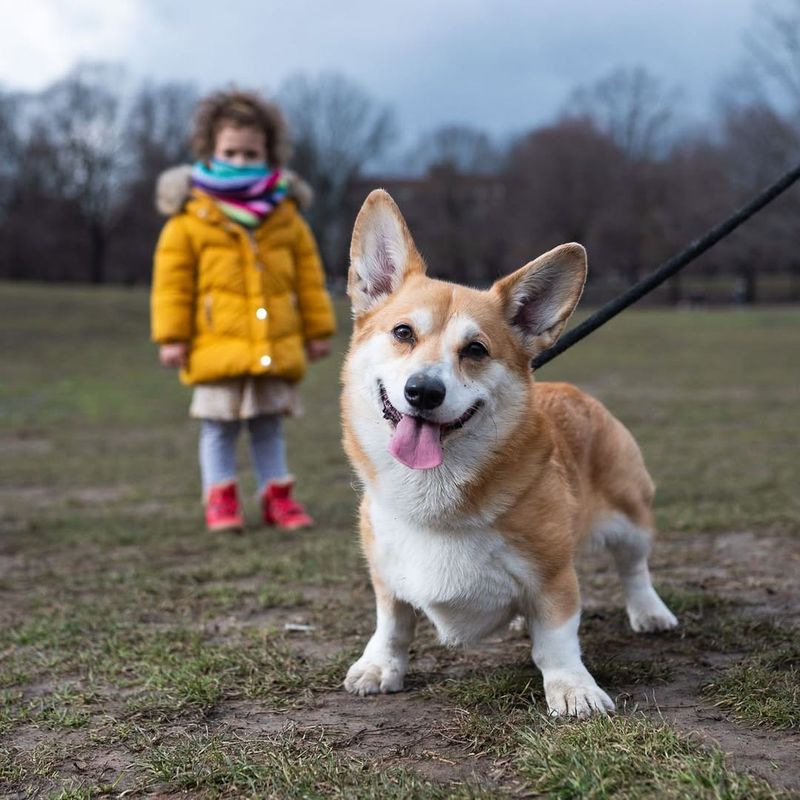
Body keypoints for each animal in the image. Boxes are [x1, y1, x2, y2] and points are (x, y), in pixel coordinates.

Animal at [340, 191, 680, 716]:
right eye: (403, 333)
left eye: (476, 349)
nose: (423, 391)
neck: (434, 495)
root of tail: (572, 389)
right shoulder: (385, 574)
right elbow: (392, 624)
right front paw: (380, 668)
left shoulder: (553, 576)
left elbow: (557, 639)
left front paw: (573, 690)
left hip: (632, 516)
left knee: (634, 567)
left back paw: (650, 613)